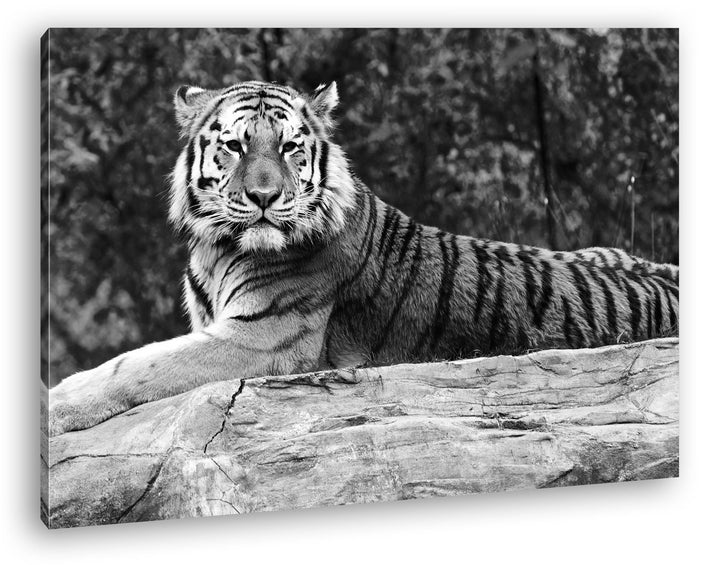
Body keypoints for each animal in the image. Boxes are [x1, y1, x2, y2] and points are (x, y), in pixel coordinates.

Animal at [47, 80, 679, 436]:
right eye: (233, 146)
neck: (217, 247)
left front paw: (57, 405)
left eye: (288, 147)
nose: (264, 197)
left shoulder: (265, 339)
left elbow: (137, 365)